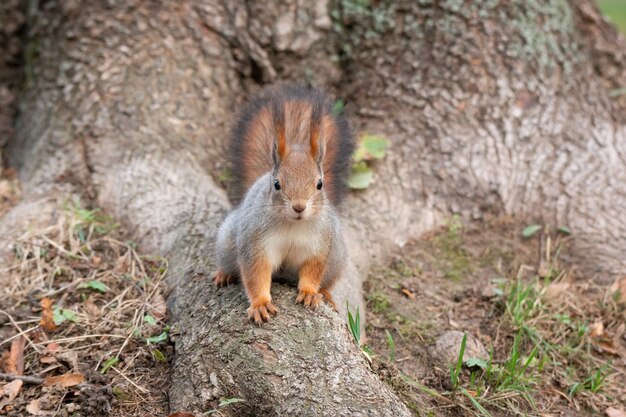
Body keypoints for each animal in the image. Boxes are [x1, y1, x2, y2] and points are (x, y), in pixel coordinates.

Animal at [212, 84, 354, 324]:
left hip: (337, 255)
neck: (292, 225)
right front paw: (260, 304)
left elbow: (313, 271)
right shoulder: (255, 243)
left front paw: (309, 292)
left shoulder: (319, 245)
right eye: (277, 184)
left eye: (320, 184)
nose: (299, 207)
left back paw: (325, 294)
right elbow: (255, 274)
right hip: (227, 238)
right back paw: (224, 273)